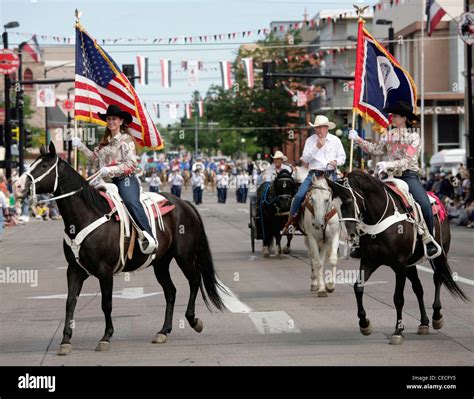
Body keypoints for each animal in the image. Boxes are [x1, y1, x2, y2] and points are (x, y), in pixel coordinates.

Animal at [15, 142, 227, 354]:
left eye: (43, 166)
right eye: (32, 164)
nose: (17, 186)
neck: (87, 215)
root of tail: (185, 204)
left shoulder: (105, 271)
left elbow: (106, 304)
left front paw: (106, 337)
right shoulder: (74, 269)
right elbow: (70, 302)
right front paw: (66, 340)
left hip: (184, 256)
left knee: (194, 280)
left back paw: (193, 321)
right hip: (161, 263)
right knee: (171, 291)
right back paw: (163, 331)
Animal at [328, 170, 468, 346]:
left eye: (348, 201)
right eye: (334, 205)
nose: (349, 235)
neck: (379, 218)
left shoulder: (399, 266)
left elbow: (398, 298)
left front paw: (398, 331)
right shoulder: (369, 261)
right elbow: (358, 288)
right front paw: (364, 324)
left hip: (440, 255)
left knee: (438, 279)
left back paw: (436, 317)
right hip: (411, 264)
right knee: (418, 288)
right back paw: (424, 323)